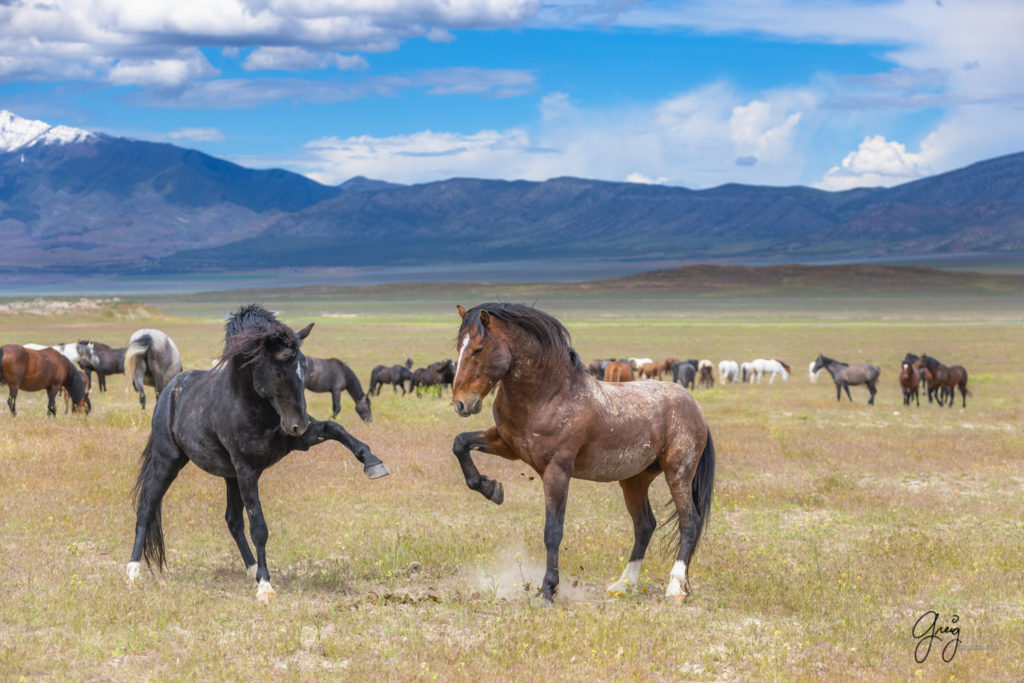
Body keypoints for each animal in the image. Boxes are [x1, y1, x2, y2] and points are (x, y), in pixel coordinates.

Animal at [123, 301, 387, 602]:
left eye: (304, 367)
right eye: (277, 371)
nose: (297, 424)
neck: (255, 408)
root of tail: (169, 390)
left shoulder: (298, 442)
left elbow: (335, 427)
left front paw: (373, 463)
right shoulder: (247, 468)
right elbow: (259, 526)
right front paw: (266, 586)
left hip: (229, 476)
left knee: (233, 520)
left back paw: (251, 569)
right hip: (169, 462)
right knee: (146, 508)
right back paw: (132, 572)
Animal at [448, 303, 712, 602]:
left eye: (478, 349)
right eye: (458, 346)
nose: (461, 403)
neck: (548, 396)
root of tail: (693, 405)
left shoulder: (557, 471)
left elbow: (553, 531)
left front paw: (548, 590)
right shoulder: (506, 444)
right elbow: (460, 444)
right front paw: (490, 488)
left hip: (678, 472)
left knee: (689, 523)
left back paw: (674, 587)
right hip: (635, 480)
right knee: (645, 526)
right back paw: (623, 584)